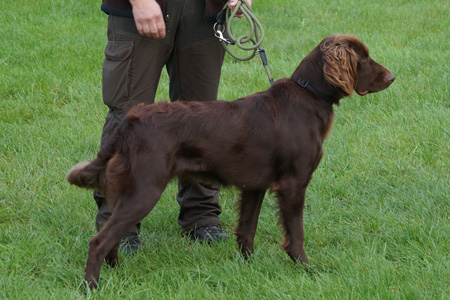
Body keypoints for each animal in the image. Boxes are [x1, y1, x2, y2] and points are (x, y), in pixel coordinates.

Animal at [66, 33, 394, 288]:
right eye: (363, 58)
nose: (392, 77)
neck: (308, 95)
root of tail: (129, 123)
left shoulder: (255, 186)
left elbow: (247, 230)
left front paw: (248, 267)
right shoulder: (293, 184)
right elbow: (295, 233)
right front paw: (305, 267)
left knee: (110, 232)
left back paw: (116, 271)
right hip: (144, 190)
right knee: (99, 240)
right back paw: (92, 286)